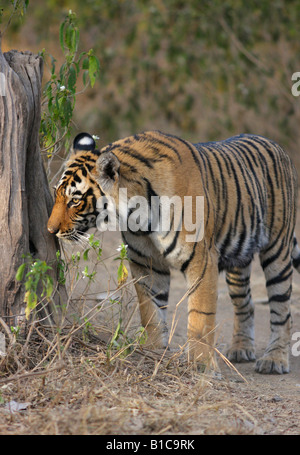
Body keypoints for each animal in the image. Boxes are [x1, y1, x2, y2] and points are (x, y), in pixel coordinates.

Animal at [47, 129, 300, 374]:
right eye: (57, 194)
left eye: (75, 201)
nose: (50, 230)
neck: (137, 213)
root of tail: (275, 144)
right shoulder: (146, 261)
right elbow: (150, 310)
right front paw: (152, 351)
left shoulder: (202, 260)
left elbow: (200, 315)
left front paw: (201, 365)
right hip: (239, 257)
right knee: (245, 303)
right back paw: (241, 348)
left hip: (277, 250)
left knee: (282, 309)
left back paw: (274, 360)